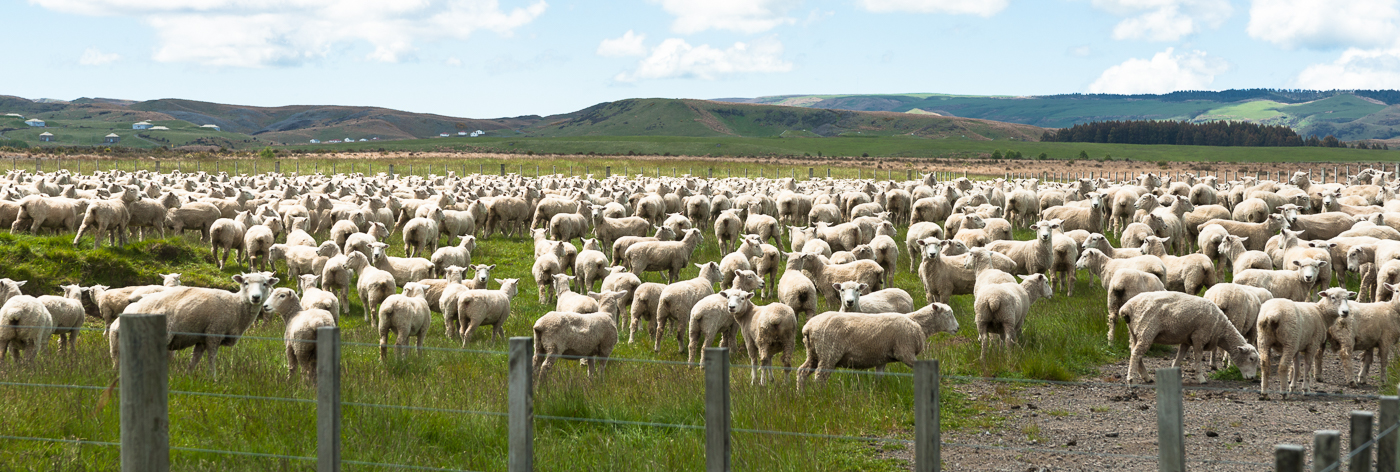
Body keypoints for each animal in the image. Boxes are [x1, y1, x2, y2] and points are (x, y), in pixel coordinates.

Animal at [124, 270, 280, 378]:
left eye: (265, 284)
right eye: (246, 283)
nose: (256, 297)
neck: (236, 306)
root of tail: (136, 306)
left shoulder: (202, 338)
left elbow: (195, 359)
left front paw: (187, 376)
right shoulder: (214, 332)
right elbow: (212, 358)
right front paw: (213, 378)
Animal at [800, 303, 963, 386]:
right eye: (948, 314)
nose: (957, 328)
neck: (918, 323)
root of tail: (808, 327)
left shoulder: (882, 357)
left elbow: (879, 376)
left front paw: (878, 390)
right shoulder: (905, 352)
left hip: (813, 353)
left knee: (802, 371)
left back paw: (800, 394)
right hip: (828, 353)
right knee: (820, 376)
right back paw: (821, 395)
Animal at [1120, 289, 1265, 386]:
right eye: (1251, 359)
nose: (1252, 378)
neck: (1221, 329)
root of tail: (1127, 307)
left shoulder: (1187, 340)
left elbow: (1180, 357)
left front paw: (1173, 373)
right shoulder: (1199, 337)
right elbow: (1198, 358)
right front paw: (1201, 378)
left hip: (1134, 332)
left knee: (1135, 352)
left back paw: (1146, 377)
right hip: (1146, 330)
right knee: (1136, 354)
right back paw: (1131, 380)